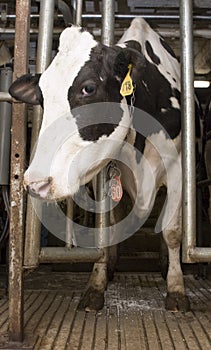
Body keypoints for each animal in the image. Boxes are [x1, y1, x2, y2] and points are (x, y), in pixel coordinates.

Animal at [8, 17, 190, 310]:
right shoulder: (101, 175)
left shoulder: (177, 169)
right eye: (43, 97)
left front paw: (176, 289)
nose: (36, 183)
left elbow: (172, 232)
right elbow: (104, 234)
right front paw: (96, 284)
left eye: (89, 88)